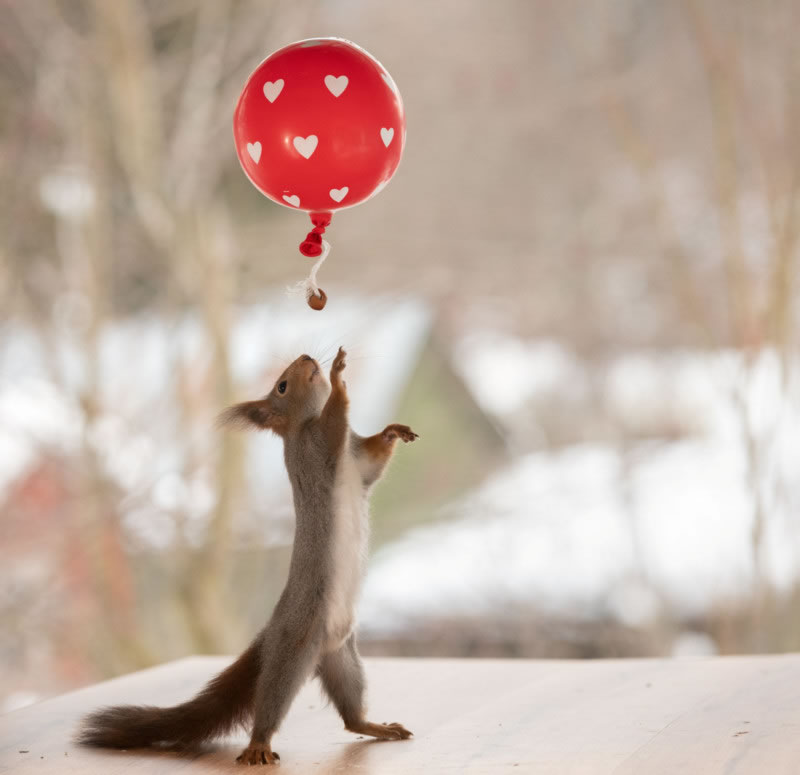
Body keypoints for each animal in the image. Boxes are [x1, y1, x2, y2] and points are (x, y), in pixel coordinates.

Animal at [76, 350, 418, 764]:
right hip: (292, 652)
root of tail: (269, 634)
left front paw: (392, 431)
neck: (302, 423)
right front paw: (338, 378)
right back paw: (258, 744)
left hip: (342, 658)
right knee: (270, 701)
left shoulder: (358, 462)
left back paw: (376, 726)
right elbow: (336, 416)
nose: (306, 357)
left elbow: (374, 461)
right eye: (282, 386)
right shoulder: (318, 444)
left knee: (351, 717)